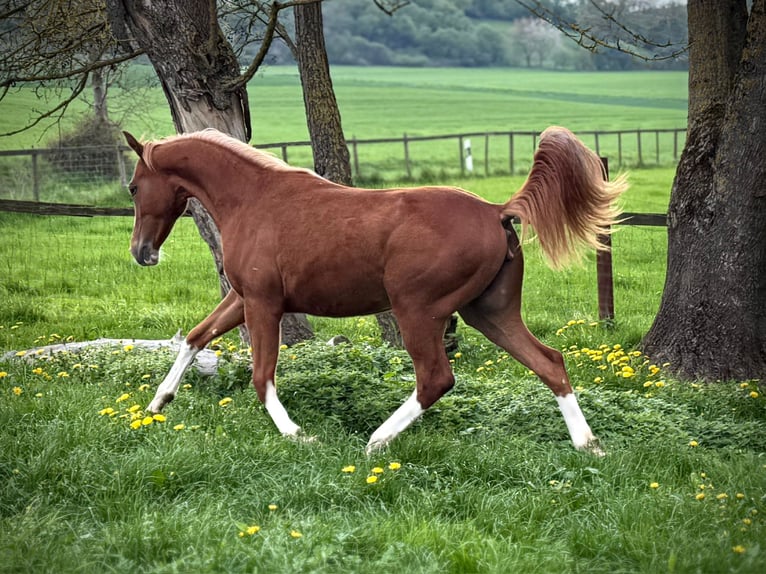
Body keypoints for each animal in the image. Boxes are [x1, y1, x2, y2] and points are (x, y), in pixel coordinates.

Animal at [123, 127, 626, 455]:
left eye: (132, 187)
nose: (141, 253)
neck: (253, 199)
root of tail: (496, 210)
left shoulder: (264, 303)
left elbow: (262, 376)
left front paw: (297, 434)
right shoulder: (243, 297)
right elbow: (196, 336)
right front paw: (157, 403)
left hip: (417, 310)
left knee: (436, 378)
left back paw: (377, 439)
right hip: (490, 313)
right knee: (550, 362)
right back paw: (589, 445)